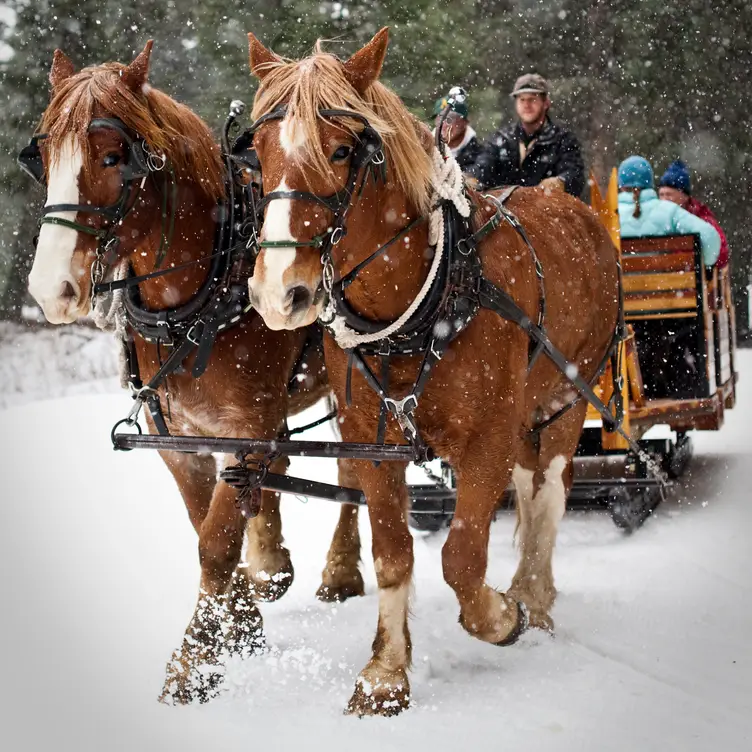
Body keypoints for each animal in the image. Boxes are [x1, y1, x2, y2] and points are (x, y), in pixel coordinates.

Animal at [23, 42, 364, 704]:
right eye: (44, 157)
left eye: (113, 157)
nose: (51, 289)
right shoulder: (179, 439)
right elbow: (204, 525)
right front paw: (243, 622)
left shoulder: (243, 426)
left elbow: (215, 542)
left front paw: (194, 661)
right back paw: (273, 562)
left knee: (355, 471)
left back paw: (339, 569)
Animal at [244, 26, 620, 712]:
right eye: (257, 154)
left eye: (343, 151)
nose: (280, 293)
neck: (427, 297)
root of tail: (570, 205)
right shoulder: (372, 439)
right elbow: (394, 553)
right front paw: (385, 673)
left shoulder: (488, 436)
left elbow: (462, 557)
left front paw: (501, 616)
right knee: (529, 489)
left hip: (567, 393)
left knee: (550, 491)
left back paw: (534, 597)